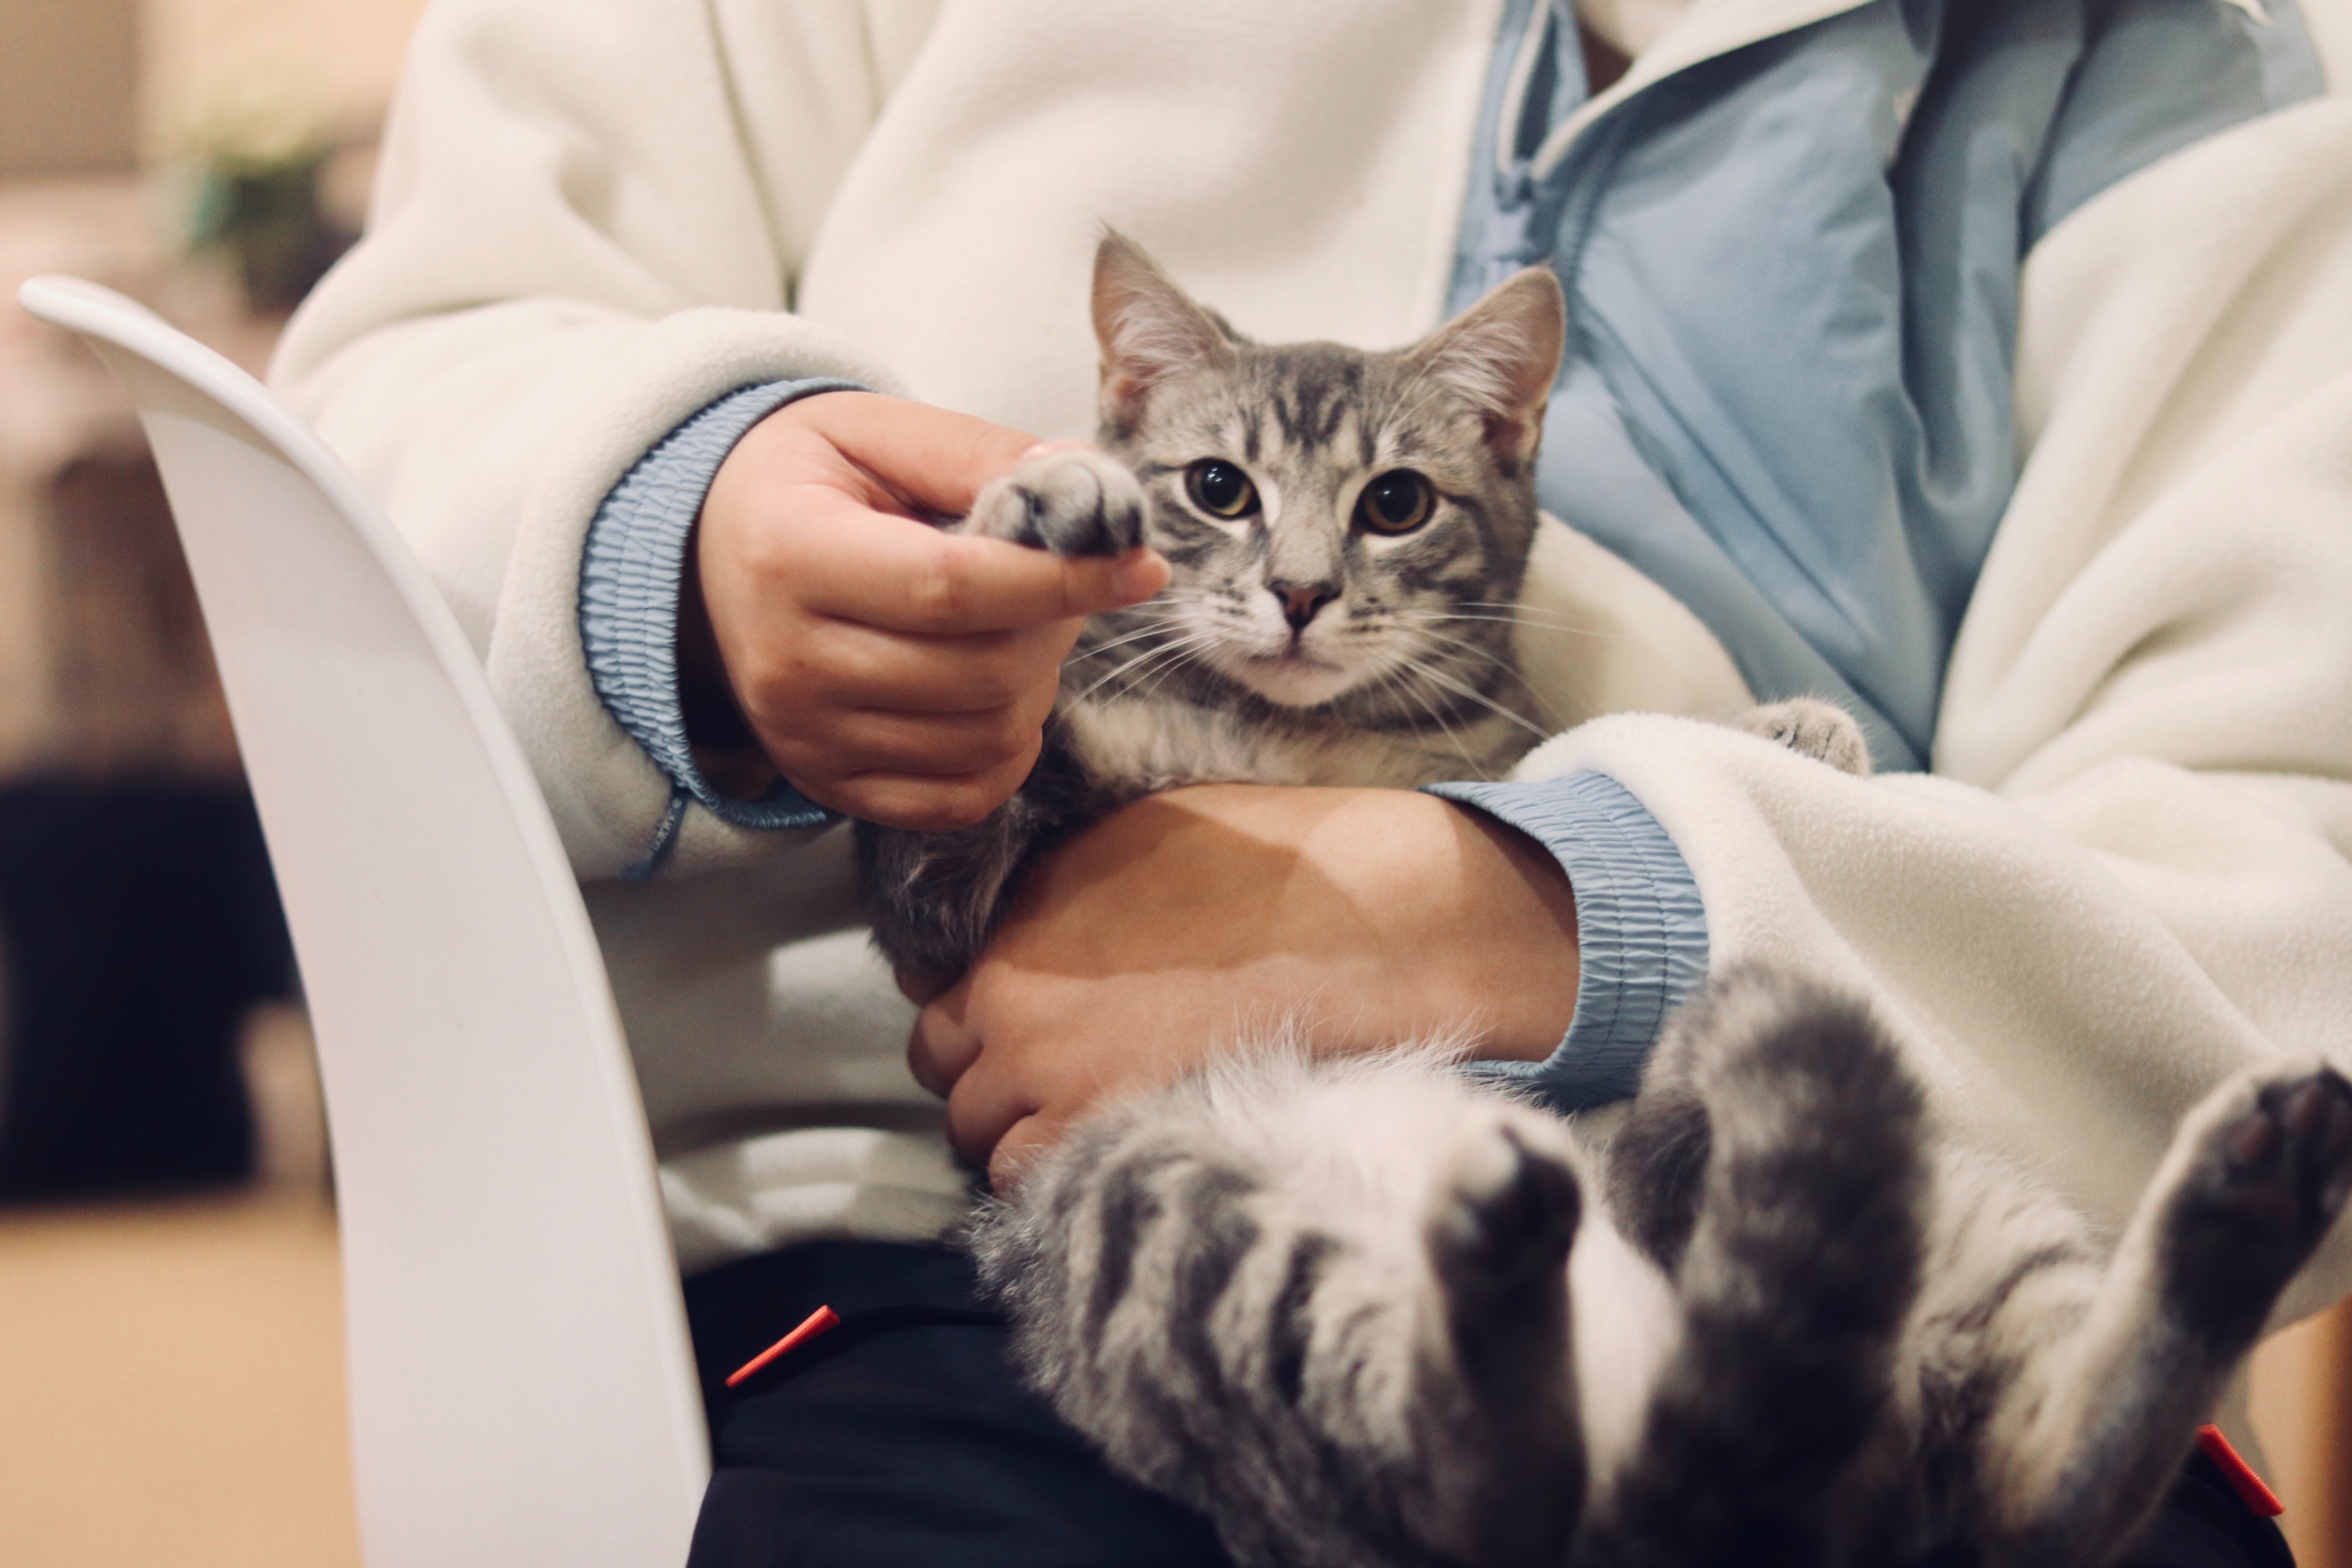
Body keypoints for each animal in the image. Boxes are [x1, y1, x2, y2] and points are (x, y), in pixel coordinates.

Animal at [856, 230, 1863, 992]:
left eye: (1396, 503)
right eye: (1219, 487)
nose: (1301, 591)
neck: (1293, 742)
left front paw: (1781, 729)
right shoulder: (937, 923)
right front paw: (1036, 510)